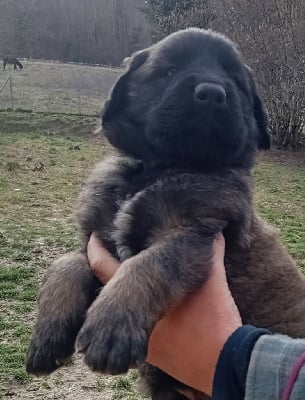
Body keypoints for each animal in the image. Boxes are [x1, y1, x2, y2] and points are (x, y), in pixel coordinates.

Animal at [26, 28, 304, 400]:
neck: (160, 167)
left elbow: (149, 263)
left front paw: (112, 323)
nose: (212, 93)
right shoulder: (94, 236)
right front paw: (48, 333)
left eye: (233, 78)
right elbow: (66, 262)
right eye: (169, 70)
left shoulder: (192, 231)